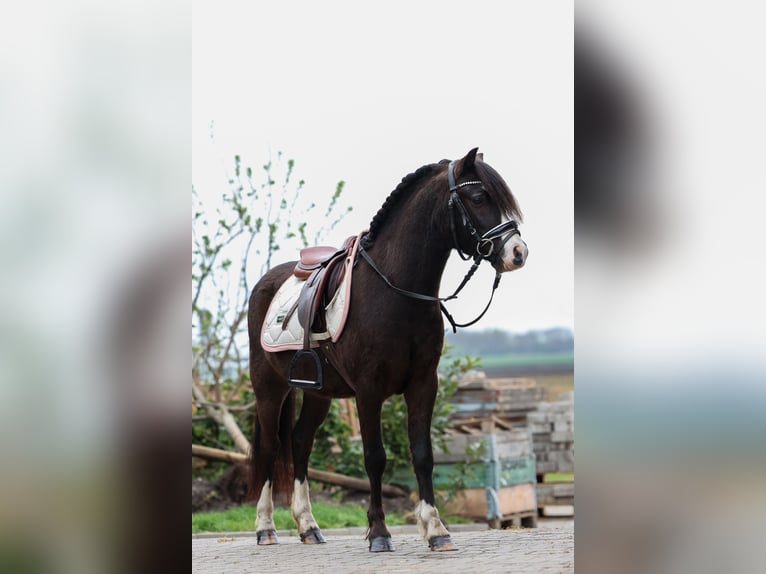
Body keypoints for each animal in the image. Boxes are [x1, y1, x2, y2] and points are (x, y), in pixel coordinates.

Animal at [247, 147, 528, 552]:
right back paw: (266, 528)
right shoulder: (369, 391)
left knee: (300, 442)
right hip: (269, 388)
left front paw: (436, 529)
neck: (396, 290)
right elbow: (375, 458)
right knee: (270, 447)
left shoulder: (424, 384)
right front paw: (379, 532)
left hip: (318, 393)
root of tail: (265, 282)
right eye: (478, 198)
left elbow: (423, 455)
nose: (518, 252)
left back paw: (308, 526)